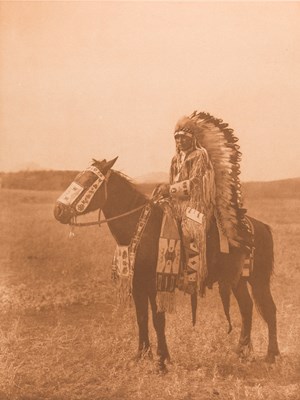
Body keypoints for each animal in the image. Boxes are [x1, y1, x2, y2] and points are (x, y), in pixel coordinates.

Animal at [53, 158, 278, 370]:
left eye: (89, 181)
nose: (58, 210)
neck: (141, 228)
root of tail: (262, 227)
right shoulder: (138, 285)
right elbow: (142, 318)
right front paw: (142, 355)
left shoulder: (156, 285)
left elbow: (158, 320)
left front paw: (161, 361)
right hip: (237, 280)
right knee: (247, 307)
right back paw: (241, 350)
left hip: (259, 280)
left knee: (269, 309)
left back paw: (271, 355)